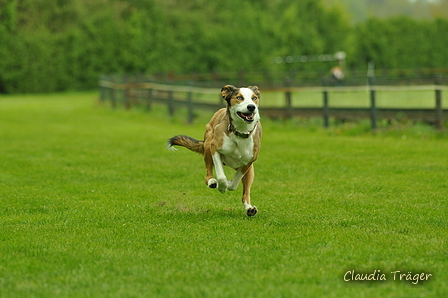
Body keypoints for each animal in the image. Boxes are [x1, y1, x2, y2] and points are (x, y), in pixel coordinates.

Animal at [168, 85, 260, 215]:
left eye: (254, 98)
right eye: (239, 97)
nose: (251, 107)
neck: (240, 132)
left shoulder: (249, 162)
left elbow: (235, 183)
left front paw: (229, 184)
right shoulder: (214, 148)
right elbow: (221, 176)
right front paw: (222, 186)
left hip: (250, 170)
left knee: (245, 192)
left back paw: (250, 209)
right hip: (207, 144)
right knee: (208, 172)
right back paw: (211, 181)